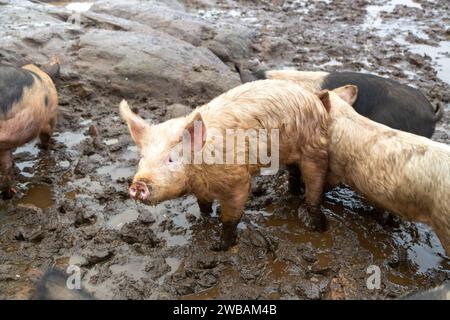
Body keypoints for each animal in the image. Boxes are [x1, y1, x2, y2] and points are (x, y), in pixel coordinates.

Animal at [121, 80, 328, 250]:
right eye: (141, 157)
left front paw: (220, 247)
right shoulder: (201, 189)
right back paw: (291, 195)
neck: (199, 173)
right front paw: (203, 221)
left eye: (171, 159)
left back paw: (318, 227)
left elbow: (230, 219)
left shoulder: (238, 181)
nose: (138, 184)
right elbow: (203, 205)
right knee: (294, 173)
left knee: (314, 188)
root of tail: (315, 100)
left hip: (314, 150)